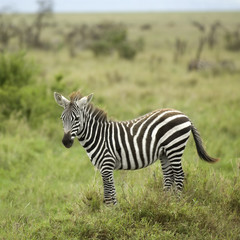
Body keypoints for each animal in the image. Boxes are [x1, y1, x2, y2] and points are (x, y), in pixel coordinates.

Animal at [53, 90, 218, 204]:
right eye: (62, 118)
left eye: (77, 119)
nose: (66, 142)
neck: (98, 136)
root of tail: (184, 115)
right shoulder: (102, 167)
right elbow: (109, 191)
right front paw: (111, 212)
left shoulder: (107, 164)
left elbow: (109, 192)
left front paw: (111, 213)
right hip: (165, 153)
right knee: (168, 176)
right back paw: (165, 203)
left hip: (174, 148)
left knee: (179, 175)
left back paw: (176, 203)